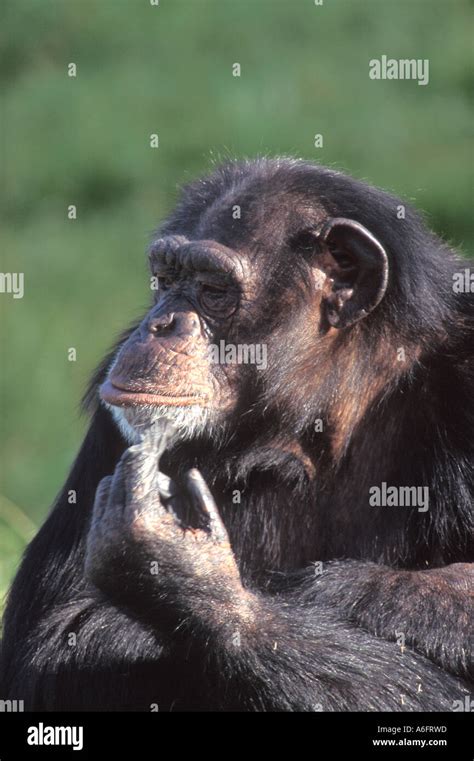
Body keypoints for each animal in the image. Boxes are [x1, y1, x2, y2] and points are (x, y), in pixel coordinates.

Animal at [0, 157, 472, 708]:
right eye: (167, 276)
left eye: (213, 287)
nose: (159, 324)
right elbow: (48, 647)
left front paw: (192, 577)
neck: (321, 418)